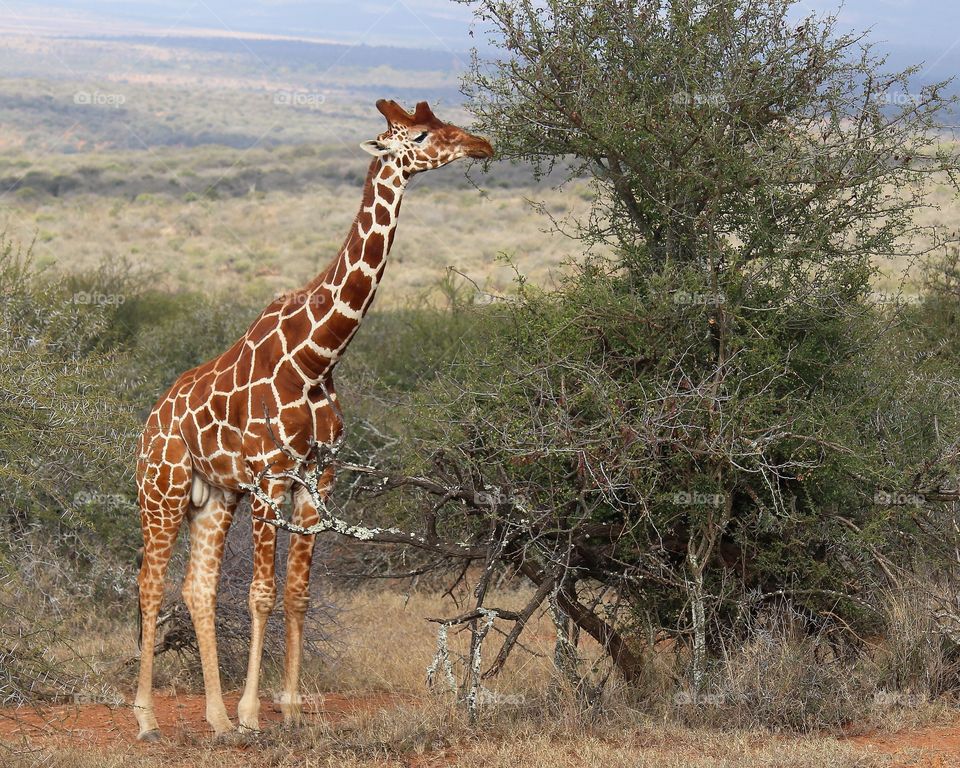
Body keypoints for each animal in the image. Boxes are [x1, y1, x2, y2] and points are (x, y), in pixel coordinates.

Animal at [133, 99, 496, 740]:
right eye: (420, 134)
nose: (482, 145)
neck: (316, 357)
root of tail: (150, 424)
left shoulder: (317, 478)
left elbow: (297, 593)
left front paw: (290, 707)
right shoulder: (269, 475)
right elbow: (261, 592)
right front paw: (254, 713)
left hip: (213, 497)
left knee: (197, 587)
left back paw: (215, 717)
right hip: (164, 489)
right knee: (150, 586)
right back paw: (148, 718)